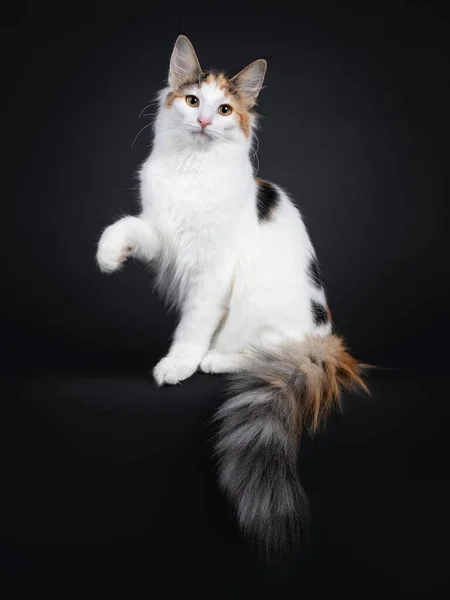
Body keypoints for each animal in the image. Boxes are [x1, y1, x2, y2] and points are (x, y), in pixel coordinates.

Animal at [96, 34, 368, 556]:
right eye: (193, 101)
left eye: (224, 109)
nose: (204, 121)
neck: (193, 169)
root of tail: (325, 341)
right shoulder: (162, 236)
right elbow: (125, 226)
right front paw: (108, 256)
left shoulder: (213, 271)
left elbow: (193, 326)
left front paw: (177, 365)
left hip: (264, 310)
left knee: (266, 351)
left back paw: (216, 360)